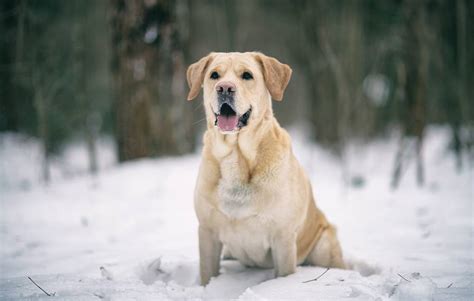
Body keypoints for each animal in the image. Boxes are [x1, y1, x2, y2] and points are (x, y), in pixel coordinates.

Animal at [185, 51, 344, 284]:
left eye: (247, 75)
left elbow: (285, 273)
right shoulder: (207, 232)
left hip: (323, 244)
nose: (224, 88)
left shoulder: (283, 237)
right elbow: (207, 273)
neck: (237, 156)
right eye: (214, 75)